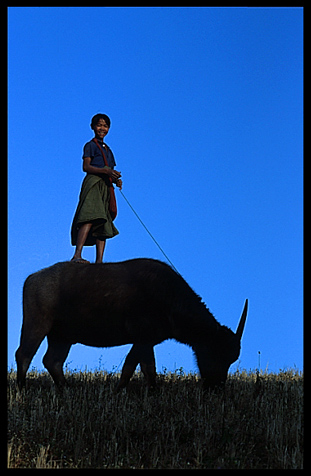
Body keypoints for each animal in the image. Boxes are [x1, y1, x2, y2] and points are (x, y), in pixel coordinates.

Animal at [15, 260, 249, 390]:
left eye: (231, 359)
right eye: (217, 353)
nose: (217, 386)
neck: (169, 297)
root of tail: (31, 278)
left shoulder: (146, 341)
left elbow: (139, 367)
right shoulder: (143, 338)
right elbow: (139, 367)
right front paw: (135, 391)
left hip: (62, 337)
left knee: (52, 361)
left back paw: (66, 389)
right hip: (37, 324)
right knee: (24, 355)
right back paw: (21, 388)